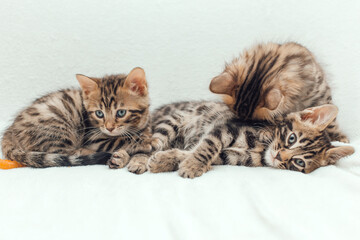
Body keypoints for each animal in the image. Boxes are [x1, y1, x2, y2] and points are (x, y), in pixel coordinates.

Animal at [1, 67, 150, 172]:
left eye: (121, 112)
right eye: (99, 114)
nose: (109, 128)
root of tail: (10, 131)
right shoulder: (94, 138)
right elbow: (120, 140)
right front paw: (146, 142)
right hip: (56, 126)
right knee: (63, 153)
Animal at [149, 101, 354, 178]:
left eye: (299, 162)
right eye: (292, 138)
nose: (279, 157)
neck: (261, 149)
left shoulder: (233, 157)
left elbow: (194, 152)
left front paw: (168, 160)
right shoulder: (226, 127)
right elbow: (208, 146)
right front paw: (192, 165)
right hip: (176, 119)